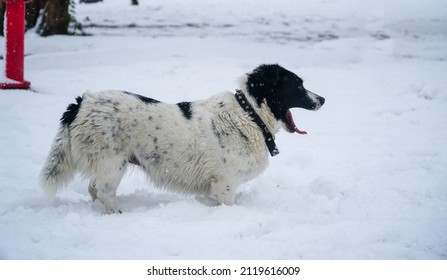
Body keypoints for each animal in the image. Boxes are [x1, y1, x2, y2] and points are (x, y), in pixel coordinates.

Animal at [40, 64, 326, 213]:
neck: (249, 115)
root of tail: (81, 102)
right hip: (112, 164)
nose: (322, 99)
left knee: (93, 189)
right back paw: (117, 214)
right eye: (298, 85)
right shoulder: (225, 184)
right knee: (104, 192)